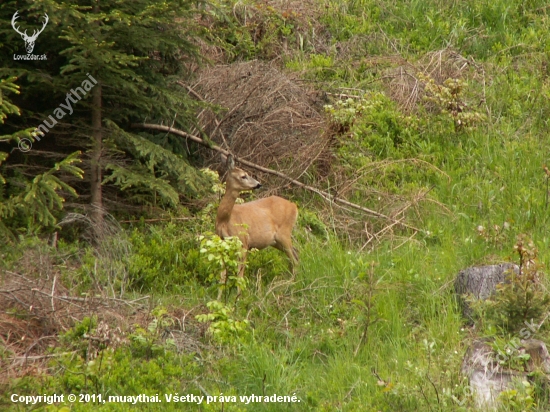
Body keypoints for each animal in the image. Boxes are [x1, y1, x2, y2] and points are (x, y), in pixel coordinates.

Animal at [216, 154, 300, 292]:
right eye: (243, 176)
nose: (258, 184)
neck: (225, 220)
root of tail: (294, 206)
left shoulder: (243, 242)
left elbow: (240, 276)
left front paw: (238, 297)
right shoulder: (222, 242)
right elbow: (222, 276)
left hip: (284, 233)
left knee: (294, 259)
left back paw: (289, 284)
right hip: (275, 241)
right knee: (295, 254)